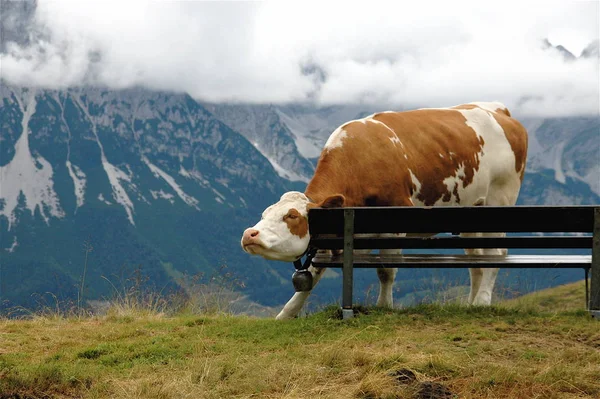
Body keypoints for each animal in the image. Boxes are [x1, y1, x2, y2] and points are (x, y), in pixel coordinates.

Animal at [241, 101, 528, 320]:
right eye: (264, 213)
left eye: (291, 216)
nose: (249, 234)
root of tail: (498, 110)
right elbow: (313, 274)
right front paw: (286, 314)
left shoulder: (395, 220)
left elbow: (386, 270)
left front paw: (384, 306)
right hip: (472, 213)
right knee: (476, 260)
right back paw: (470, 304)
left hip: (499, 200)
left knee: (497, 253)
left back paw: (482, 301)